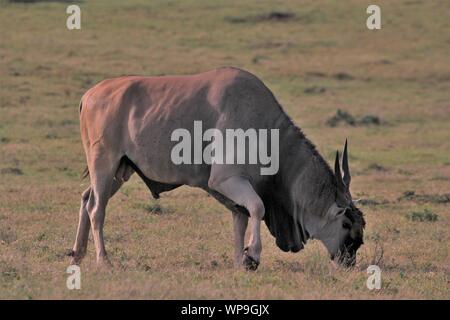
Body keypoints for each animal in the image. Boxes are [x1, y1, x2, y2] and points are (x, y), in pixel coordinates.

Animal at [70, 67, 366, 270]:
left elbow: (241, 219)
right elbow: (257, 208)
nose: (349, 260)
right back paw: (103, 260)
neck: (267, 129)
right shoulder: (227, 180)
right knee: (97, 208)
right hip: (104, 164)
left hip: (120, 171)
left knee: (86, 198)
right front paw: (252, 256)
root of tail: (88, 95)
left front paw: (239, 261)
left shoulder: (238, 189)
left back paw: (78, 254)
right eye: (346, 223)